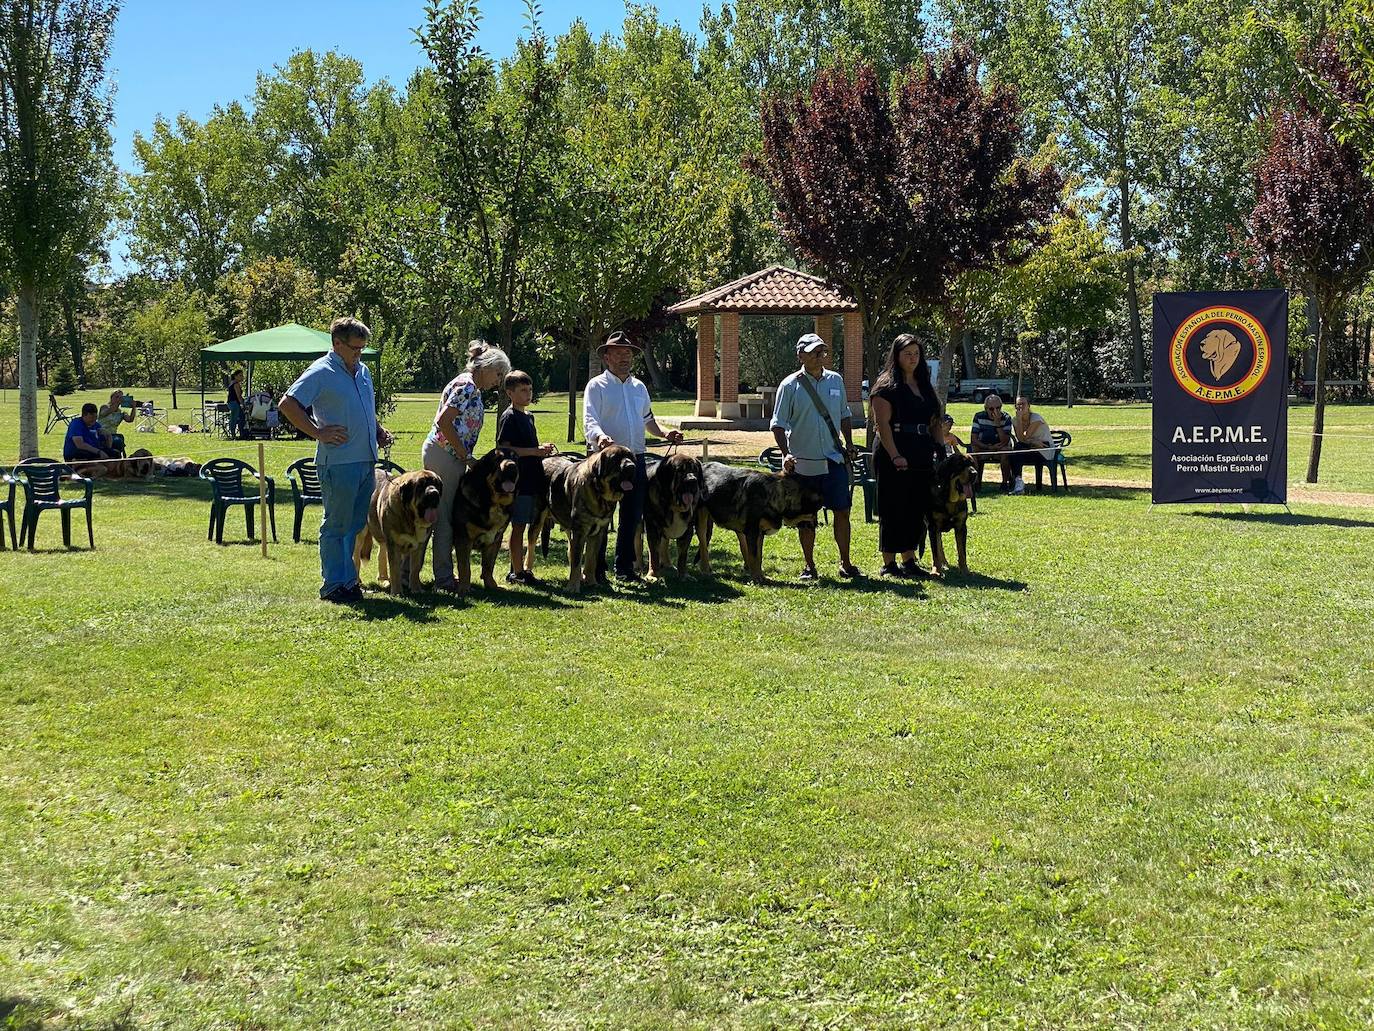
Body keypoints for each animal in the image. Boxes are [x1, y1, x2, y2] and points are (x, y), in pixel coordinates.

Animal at [450, 448, 519, 593]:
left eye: (515, 458)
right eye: (497, 459)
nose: (512, 466)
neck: (493, 503)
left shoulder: (495, 539)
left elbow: (488, 565)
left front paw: (491, 585)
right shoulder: (463, 538)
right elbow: (465, 566)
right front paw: (464, 588)